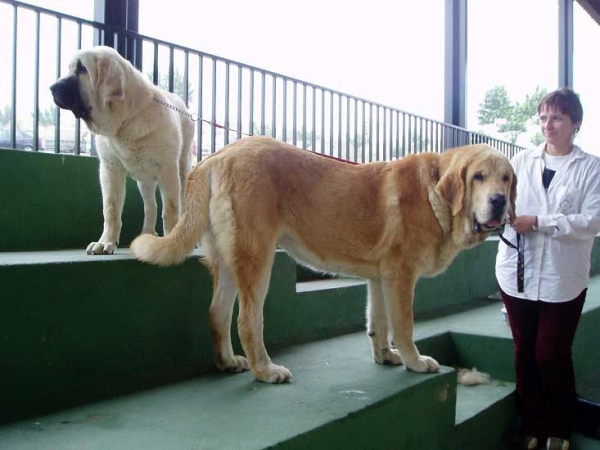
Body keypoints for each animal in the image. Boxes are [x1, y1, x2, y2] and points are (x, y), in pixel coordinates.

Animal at [50, 48, 195, 256]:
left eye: (82, 69)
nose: (52, 88)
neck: (126, 120)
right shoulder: (110, 170)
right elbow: (111, 209)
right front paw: (105, 242)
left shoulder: (168, 170)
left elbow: (171, 209)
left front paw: (170, 243)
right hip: (144, 180)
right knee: (150, 206)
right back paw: (146, 234)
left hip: (182, 170)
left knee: (180, 205)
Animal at [129, 136, 512, 384]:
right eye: (479, 177)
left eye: (507, 179)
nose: (500, 201)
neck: (434, 192)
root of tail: (216, 156)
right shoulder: (401, 277)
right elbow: (403, 326)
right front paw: (414, 362)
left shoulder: (381, 278)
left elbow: (379, 323)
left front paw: (385, 356)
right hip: (257, 259)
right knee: (247, 321)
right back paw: (265, 371)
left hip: (227, 262)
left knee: (217, 314)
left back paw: (226, 362)